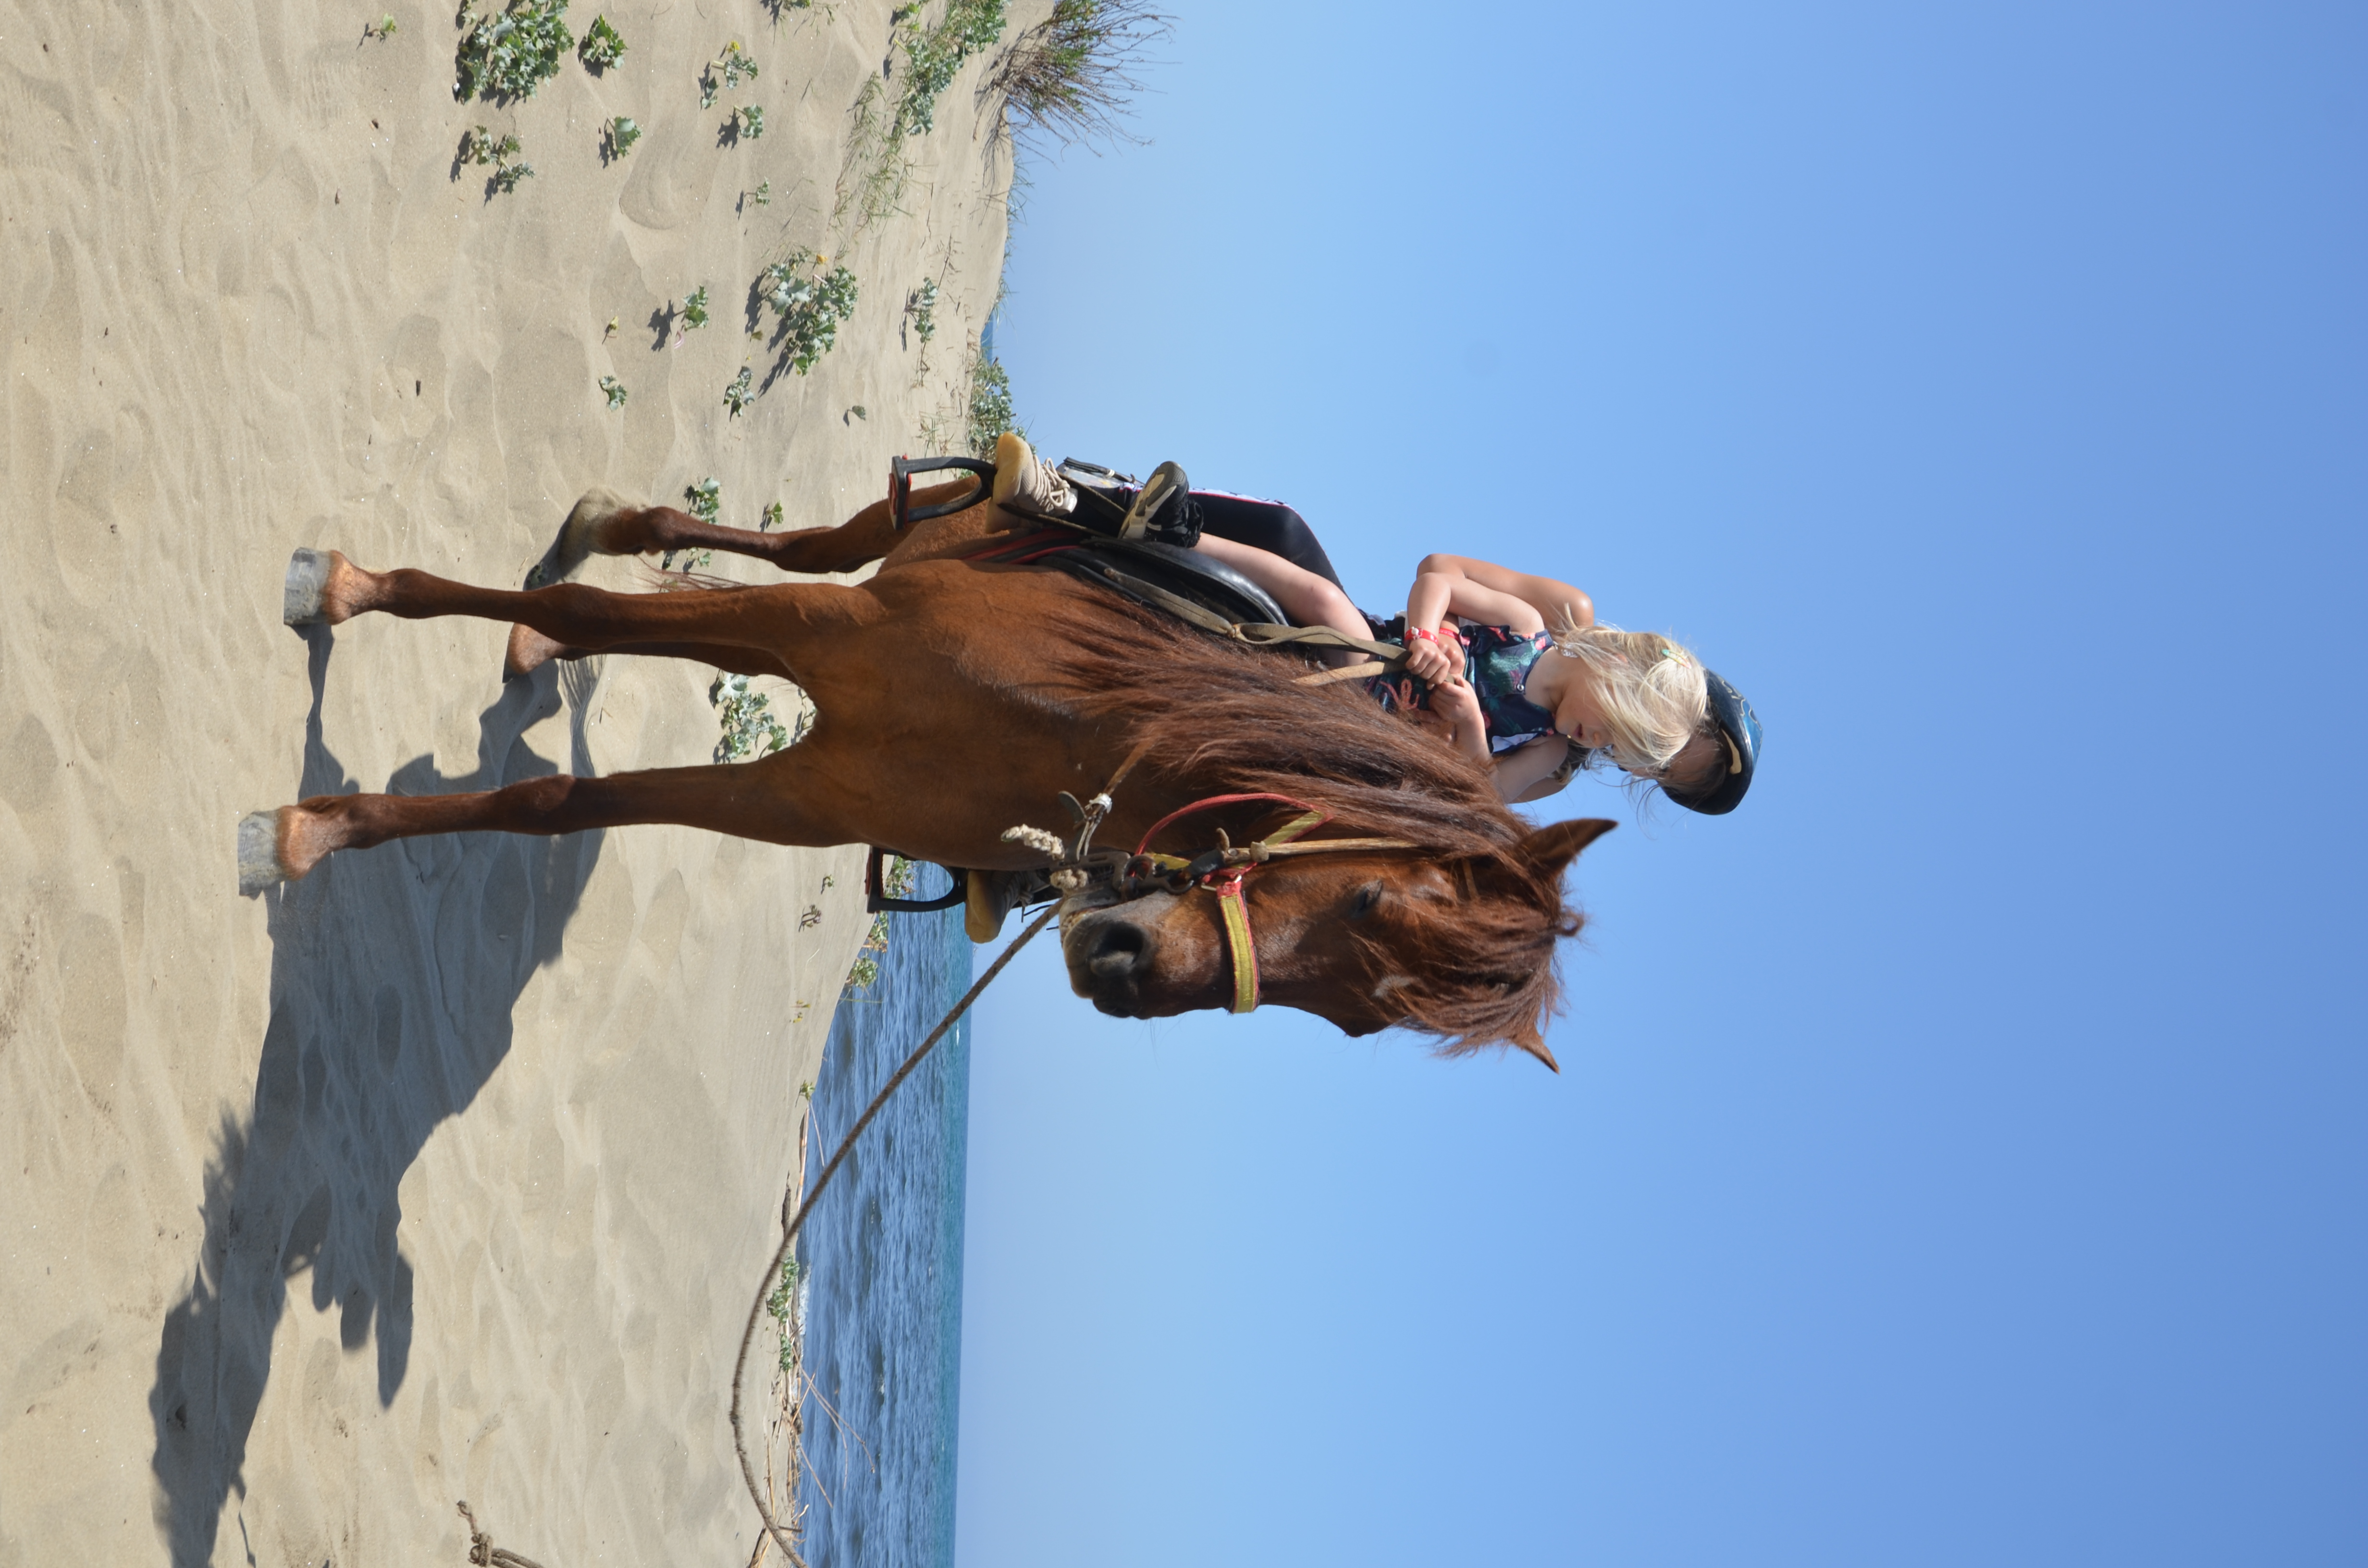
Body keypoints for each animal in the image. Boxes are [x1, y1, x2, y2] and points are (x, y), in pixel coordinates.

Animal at [242, 478, 1615, 1068]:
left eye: (1355, 1017)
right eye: (1373, 901)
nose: (1125, 972)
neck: (1068, 720)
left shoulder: (810, 795)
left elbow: (554, 804)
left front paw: (329, 828)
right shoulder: (821, 632)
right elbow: (586, 617)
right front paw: (352, 595)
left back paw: (533, 646)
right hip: (886, 546)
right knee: (788, 543)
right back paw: (605, 534)